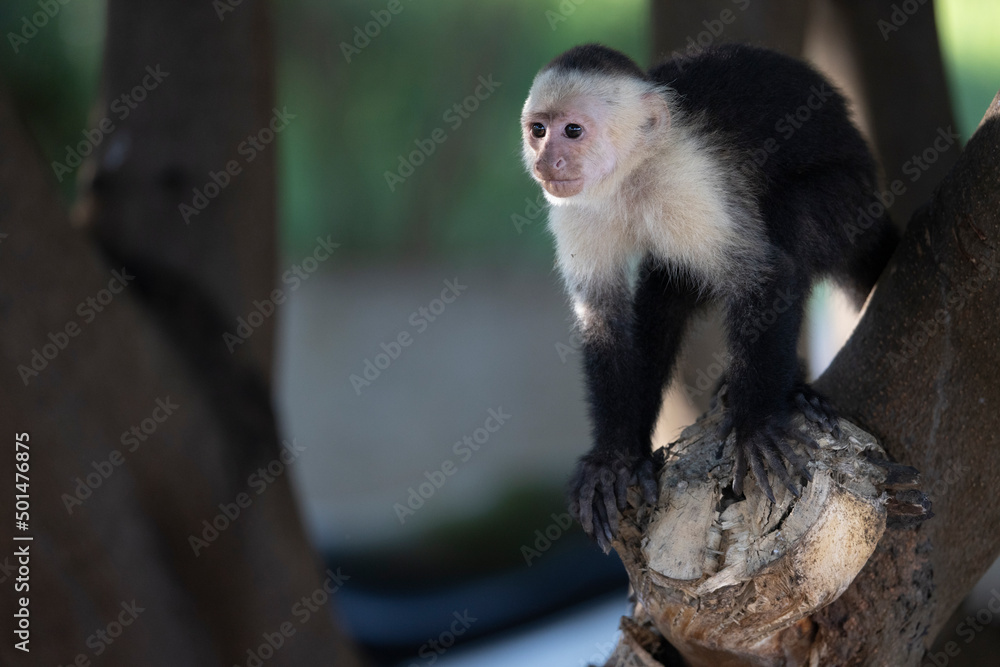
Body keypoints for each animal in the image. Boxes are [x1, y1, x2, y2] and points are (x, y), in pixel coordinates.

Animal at [520, 44, 898, 550]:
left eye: (573, 131)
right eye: (539, 130)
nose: (546, 161)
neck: (634, 172)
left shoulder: (691, 181)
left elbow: (764, 275)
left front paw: (756, 423)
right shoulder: (578, 208)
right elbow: (603, 317)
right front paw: (613, 458)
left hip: (850, 202)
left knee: (793, 221)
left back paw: (789, 390)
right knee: (663, 294)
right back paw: (641, 456)